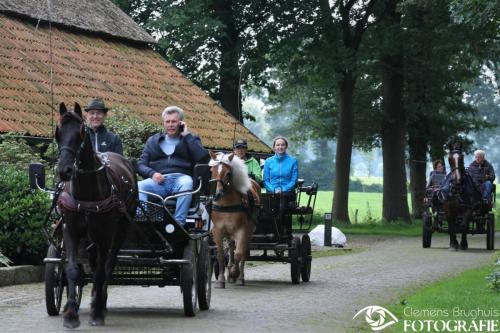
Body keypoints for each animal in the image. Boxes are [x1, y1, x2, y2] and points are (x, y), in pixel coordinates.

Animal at [56, 102, 138, 328]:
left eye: (80, 132)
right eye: (58, 132)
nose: (64, 170)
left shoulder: (104, 236)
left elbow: (101, 272)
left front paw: (97, 313)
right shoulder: (70, 231)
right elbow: (72, 270)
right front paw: (70, 314)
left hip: (119, 231)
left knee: (108, 266)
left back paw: (101, 304)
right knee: (93, 267)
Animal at [208, 150, 262, 286]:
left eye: (228, 173)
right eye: (212, 170)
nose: (217, 194)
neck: (226, 205)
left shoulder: (242, 230)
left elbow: (239, 254)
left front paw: (234, 273)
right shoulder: (217, 231)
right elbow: (221, 255)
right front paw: (221, 279)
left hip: (248, 231)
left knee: (243, 252)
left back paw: (240, 277)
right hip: (229, 232)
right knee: (231, 247)